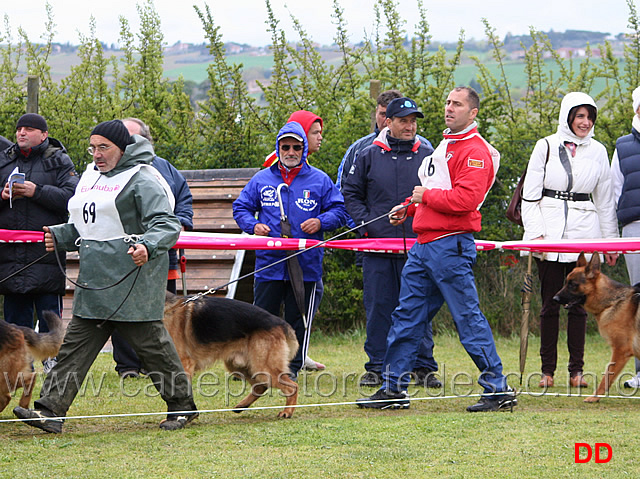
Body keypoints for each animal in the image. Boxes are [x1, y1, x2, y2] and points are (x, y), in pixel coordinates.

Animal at [161, 292, 298, 416]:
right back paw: (242, 405)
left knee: (292, 386)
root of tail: (280, 322)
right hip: (239, 366)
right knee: (260, 386)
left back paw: (287, 412)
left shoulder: (184, 364)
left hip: (262, 367)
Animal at [552, 253, 636, 404]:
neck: (611, 302)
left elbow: (607, 377)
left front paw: (595, 397)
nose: (554, 299)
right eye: (566, 282)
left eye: (572, 284)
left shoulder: (620, 351)